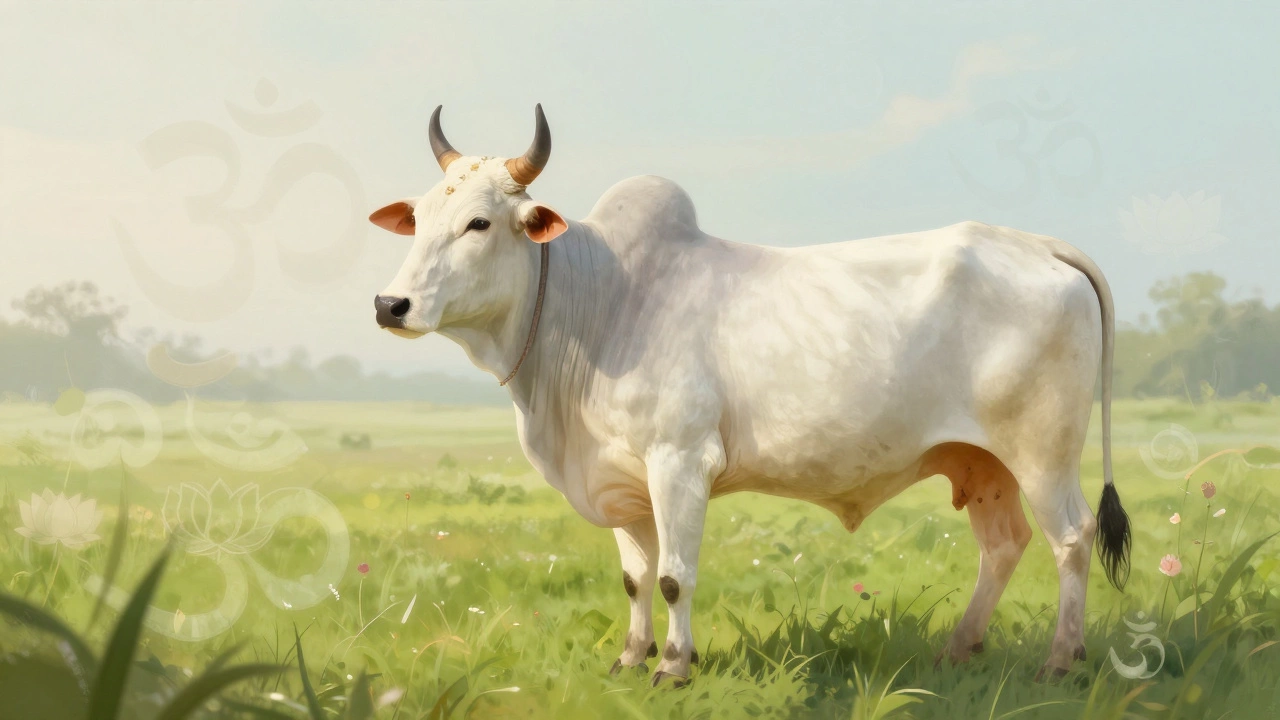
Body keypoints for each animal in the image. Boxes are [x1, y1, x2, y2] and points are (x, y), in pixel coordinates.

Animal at [369, 105, 1132, 686]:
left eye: (479, 223)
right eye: (421, 217)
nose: (389, 303)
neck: (599, 304)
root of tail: (1037, 244)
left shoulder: (679, 462)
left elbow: (674, 576)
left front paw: (673, 666)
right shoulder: (621, 478)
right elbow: (635, 578)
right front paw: (630, 657)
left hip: (1043, 454)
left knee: (1071, 538)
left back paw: (1061, 660)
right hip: (983, 462)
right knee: (1003, 545)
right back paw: (958, 648)